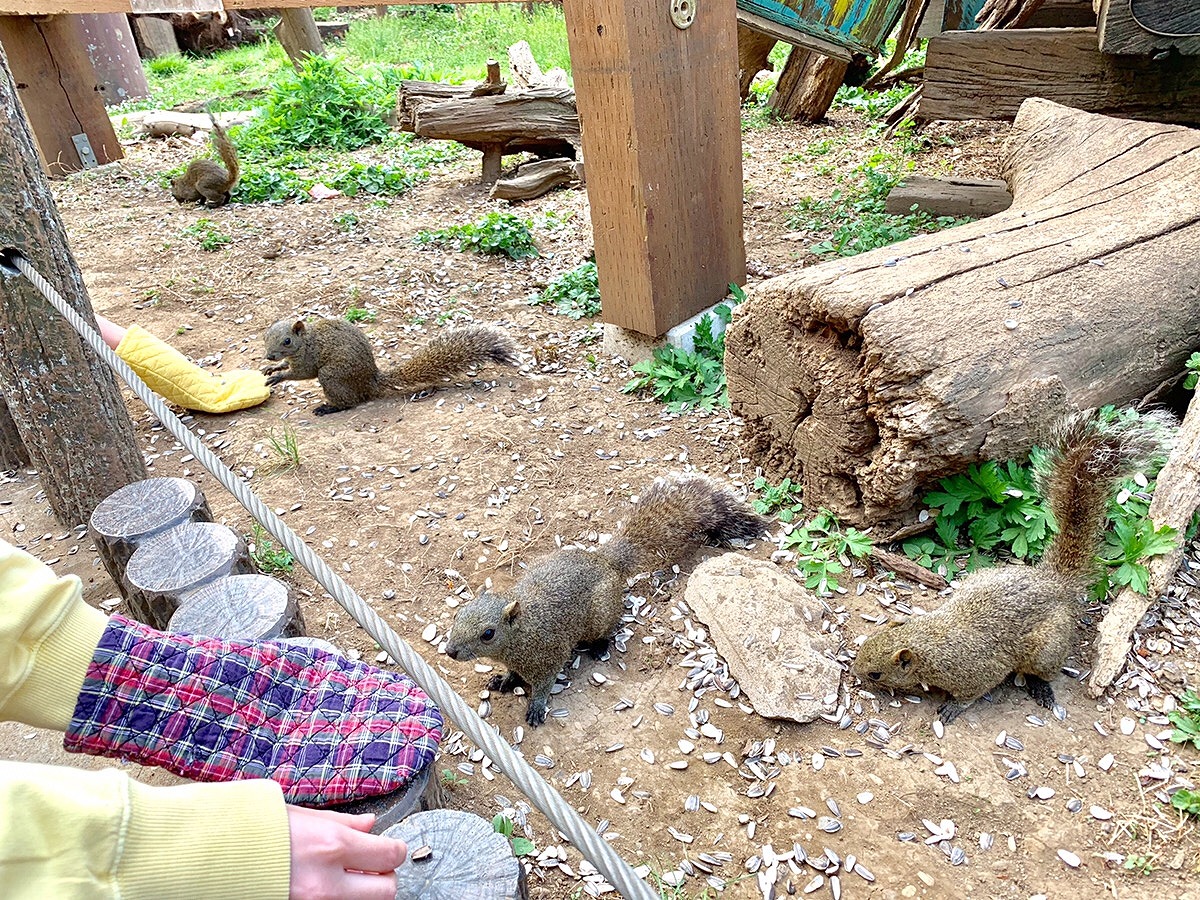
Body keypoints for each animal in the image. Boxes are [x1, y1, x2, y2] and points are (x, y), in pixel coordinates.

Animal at [265, 316, 518, 415]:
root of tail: (370, 381)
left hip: (331, 375)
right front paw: (274, 369)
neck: (306, 341)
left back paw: (329, 408)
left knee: (350, 402)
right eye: (266, 337)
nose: (269, 356)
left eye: (287, 341)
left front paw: (280, 376)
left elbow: (302, 374)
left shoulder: (309, 358)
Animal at [444, 475, 768, 729]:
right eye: (459, 615)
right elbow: (513, 673)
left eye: (488, 634)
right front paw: (505, 679)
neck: (522, 633)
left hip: (600, 614)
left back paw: (600, 646)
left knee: (607, 629)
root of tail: (606, 560)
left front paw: (536, 706)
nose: (450, 651)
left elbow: (545, 684)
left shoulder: (550, 654)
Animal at [854, 408, 1171, 724]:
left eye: (876, 673)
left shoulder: (974, 673)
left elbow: (972, 694)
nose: (855, 674)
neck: (925, 639)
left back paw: (1040, 687)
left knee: (1043, 670)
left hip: (1047, 647)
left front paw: (953, 707)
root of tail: (1055, 583)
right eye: (865, 644)